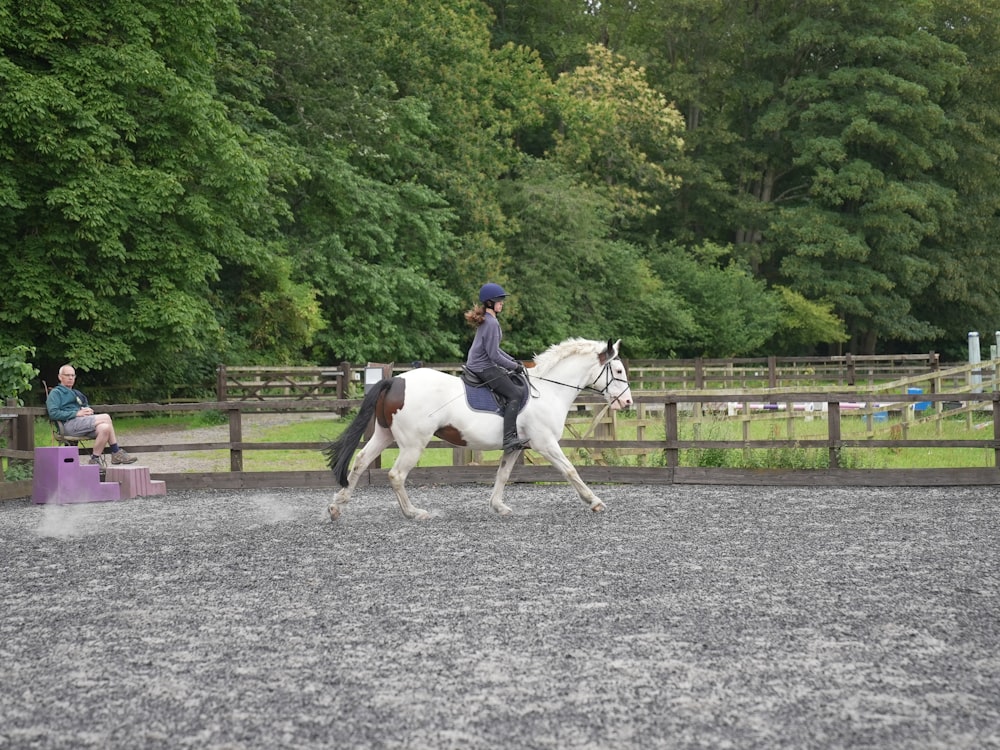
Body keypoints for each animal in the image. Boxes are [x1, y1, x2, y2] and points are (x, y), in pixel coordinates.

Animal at [320, 340, 632, 524]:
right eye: (617, 370)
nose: (627, 402)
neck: (549, 389)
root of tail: (396, 380)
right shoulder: (545, 443)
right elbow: (570, 471)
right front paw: (595, 502)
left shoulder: (515, 446)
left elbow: (502, 476)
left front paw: (498, 507)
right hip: (413, 444)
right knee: (396, 475)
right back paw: (413, 513)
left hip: (385, 434)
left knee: (360, 461)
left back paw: (337, 507)